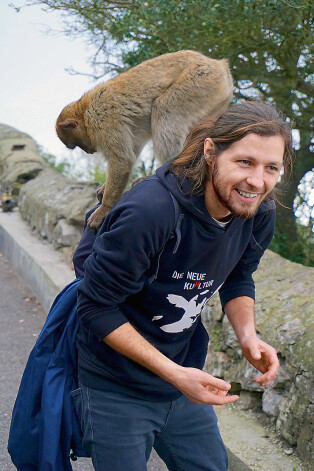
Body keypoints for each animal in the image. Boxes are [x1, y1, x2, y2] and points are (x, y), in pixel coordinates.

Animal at [56, 49, 233, 230]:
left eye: (76, 144)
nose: (89, 151)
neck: (84, 111)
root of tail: (219, 64)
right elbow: (133, 147)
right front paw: (104, 189)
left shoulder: (102, 121)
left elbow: (123, 161)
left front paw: (104, 209)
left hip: (202, 80)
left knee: (164, 109)